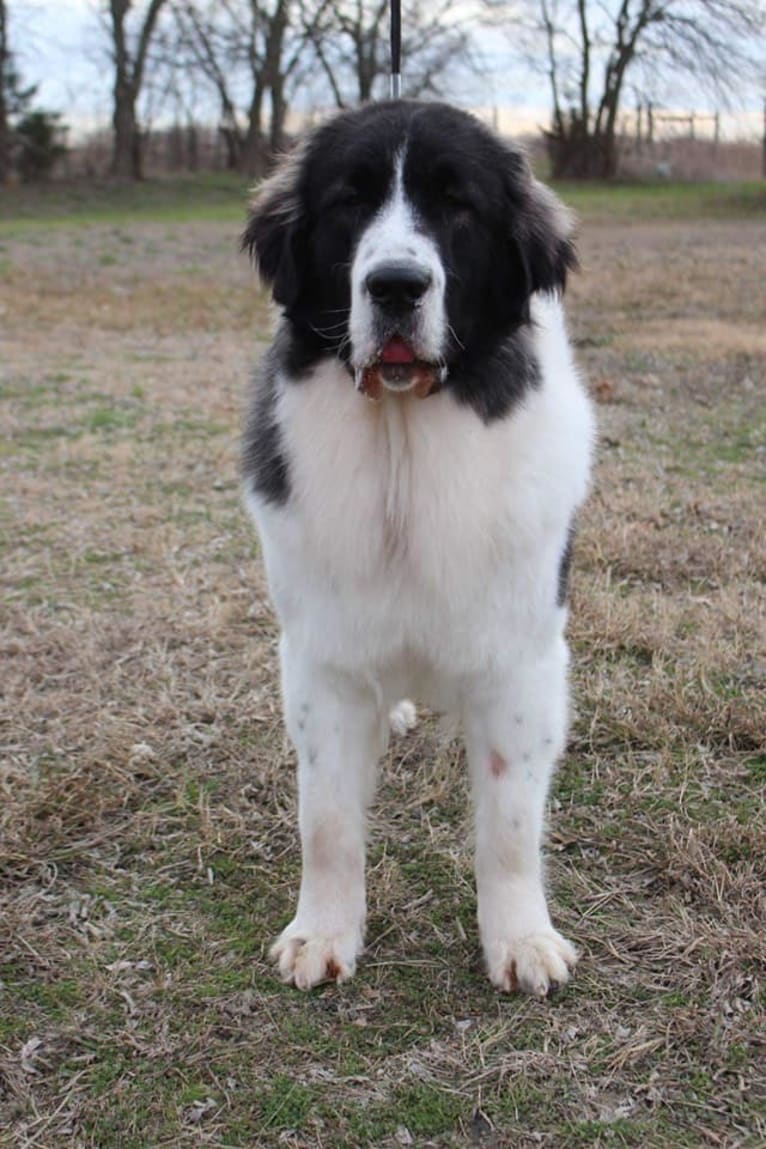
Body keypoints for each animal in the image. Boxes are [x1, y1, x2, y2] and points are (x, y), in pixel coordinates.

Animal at [242, 98, 597, 997]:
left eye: (456, 206)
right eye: (349, 202)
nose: (396, 285)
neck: (403, 445)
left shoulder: (520, 659)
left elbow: (509, 820)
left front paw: (521, 938)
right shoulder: (323, 658)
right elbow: (327, 818)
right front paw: (322, 932)